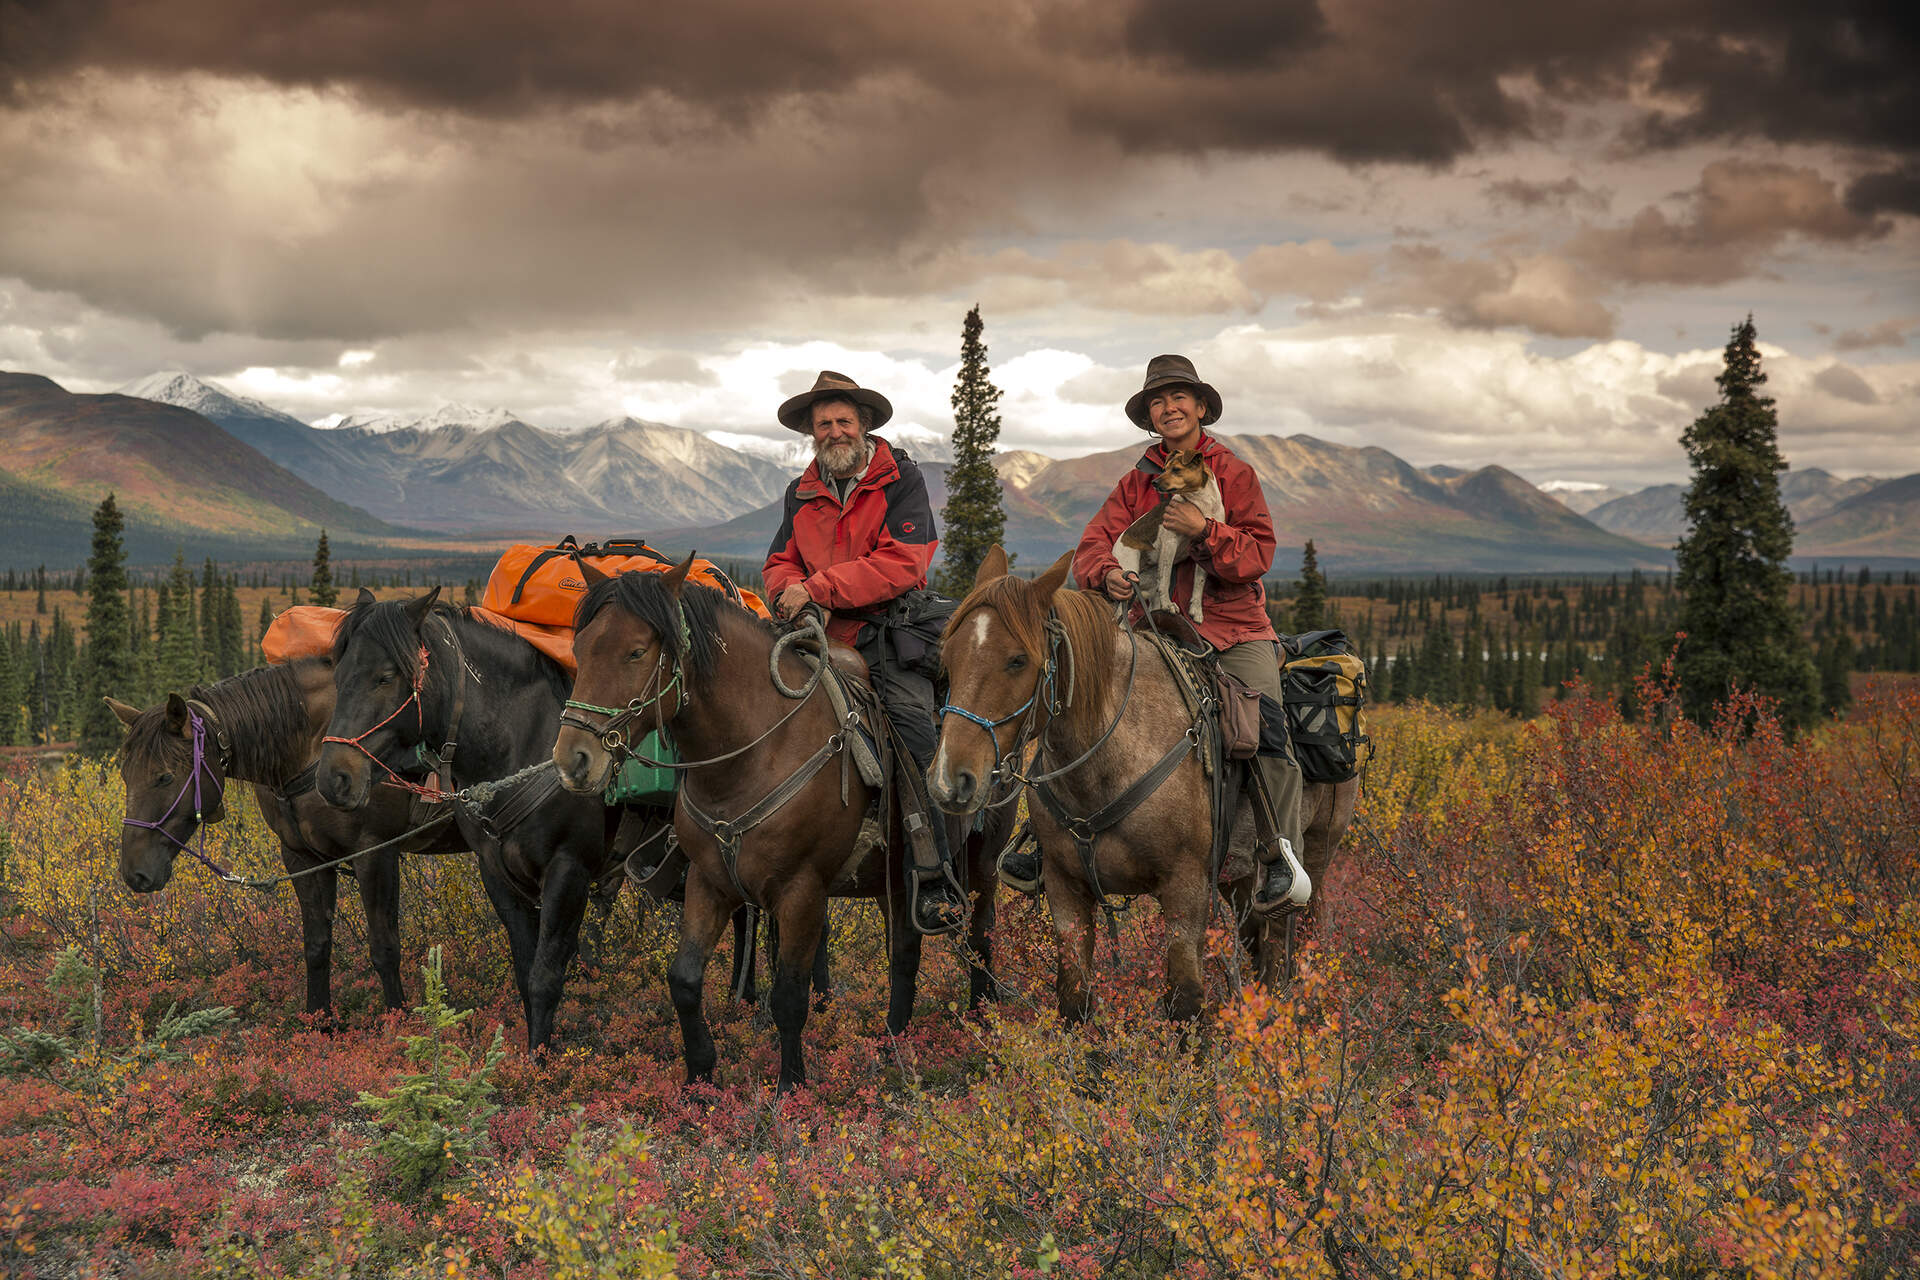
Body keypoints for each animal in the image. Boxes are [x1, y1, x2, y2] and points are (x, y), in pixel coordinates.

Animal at [107, 656, 466, 1013]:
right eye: (125, 775)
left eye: (165, 777)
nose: (135, 873)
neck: (311, 747)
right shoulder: (303, 858)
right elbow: (317, 946)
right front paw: (319, 1019)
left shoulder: (374, 851)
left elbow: (384, 948)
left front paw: (398, 1019)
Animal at [312, 591, 629, 1051]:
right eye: (338, 677)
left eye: (385, 678)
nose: (333, 779)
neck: (528, 744)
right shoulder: (497, 873)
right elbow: (525, 972)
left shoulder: (568, 870)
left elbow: (545, 978)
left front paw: (541, 1059)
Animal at [552, 560, 1013, 1090]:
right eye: (580, 649)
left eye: (636, 651)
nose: (573, 760)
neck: (753, 755)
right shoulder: (710, 882)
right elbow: (684, 979)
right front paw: (700, 1079)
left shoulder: (801, 891)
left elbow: (790, 997)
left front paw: (791, 1086)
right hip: (897, 879)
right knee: (905, 950)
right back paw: (894, 1039)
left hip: (981, 862)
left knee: (981, 936)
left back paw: (983, 1020)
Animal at [933, 545, 1359, 1028]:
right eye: (947, 657)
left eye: (1018, 659)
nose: (950, 780)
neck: (1107, 761)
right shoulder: (1065, 888)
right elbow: (1074, 998)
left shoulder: (1185, 889)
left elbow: (1186, 1001)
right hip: (1240, 876)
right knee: (1258, 945)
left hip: (1317, 853)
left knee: (1289, 940)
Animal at [1113, 450, 1228, 625]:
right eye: (1164, 469)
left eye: (1176, 469)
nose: (1154, 483)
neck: (1200, 503)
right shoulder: (1170, 543)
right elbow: (1166, 580)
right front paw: (1168, 605)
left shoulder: (1202, 548)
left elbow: (1199, 583)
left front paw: (1196, 610)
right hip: (1129, 579)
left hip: (1148, 580)